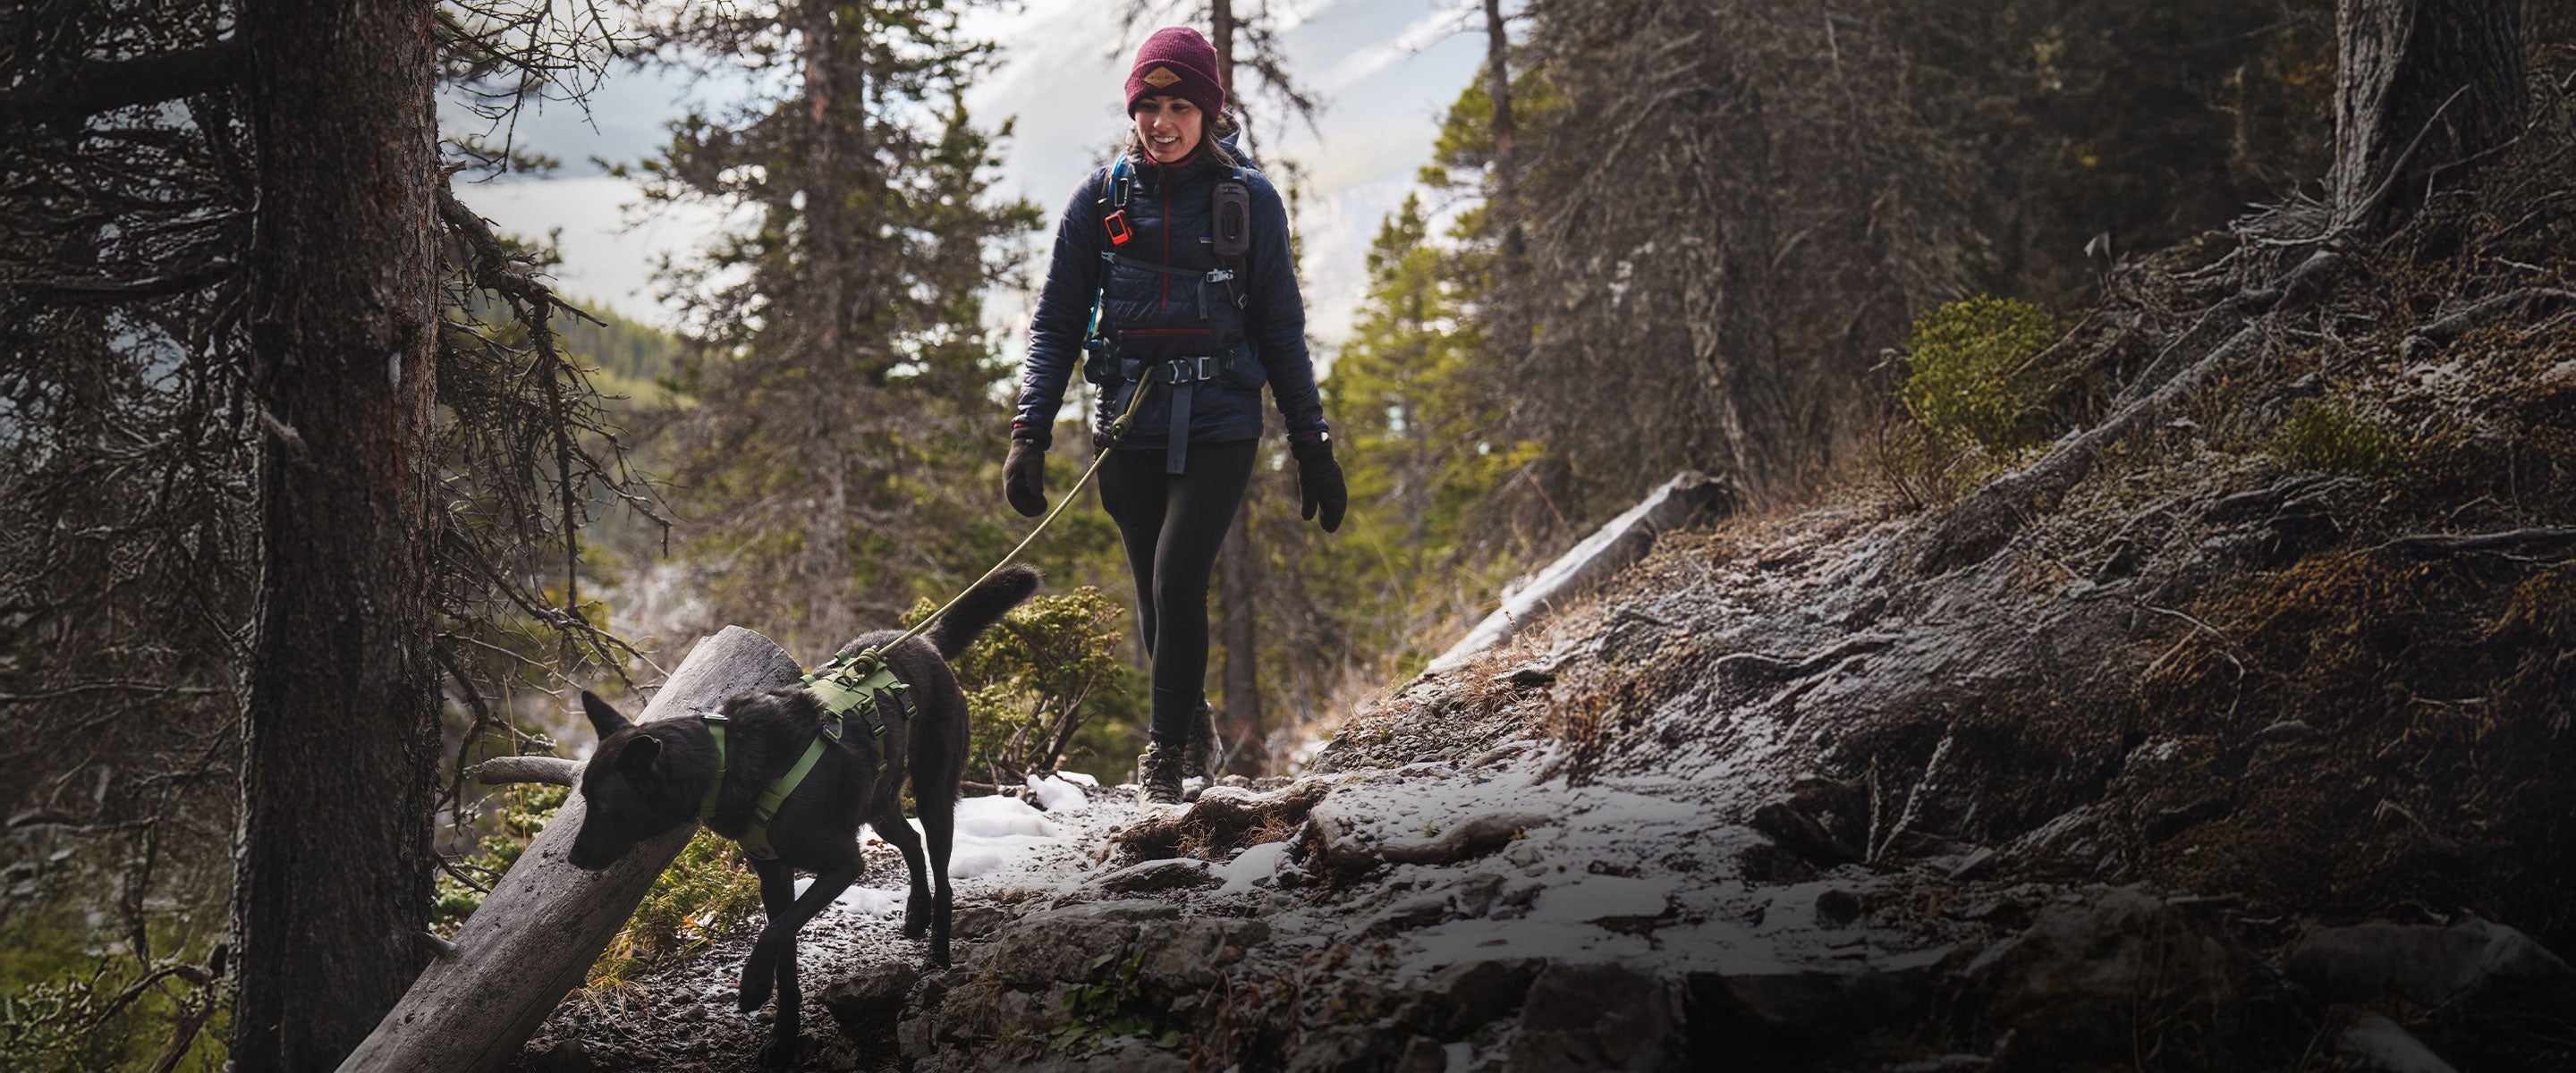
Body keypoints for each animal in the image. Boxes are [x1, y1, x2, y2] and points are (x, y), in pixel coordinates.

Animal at [574, 563, 1035, 1065]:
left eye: (603, 807)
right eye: (584, 801)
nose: (574, 859)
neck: (730, 761)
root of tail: (923, 643)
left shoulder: (843, 866)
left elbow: (773, 935)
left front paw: (753, 989)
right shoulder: (774, 877)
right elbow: (785, 953)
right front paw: (783, 1039)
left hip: (934, 792)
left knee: (941, 866)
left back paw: (938, 955)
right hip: (878, 805)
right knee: (910, 842)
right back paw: (916, 913)